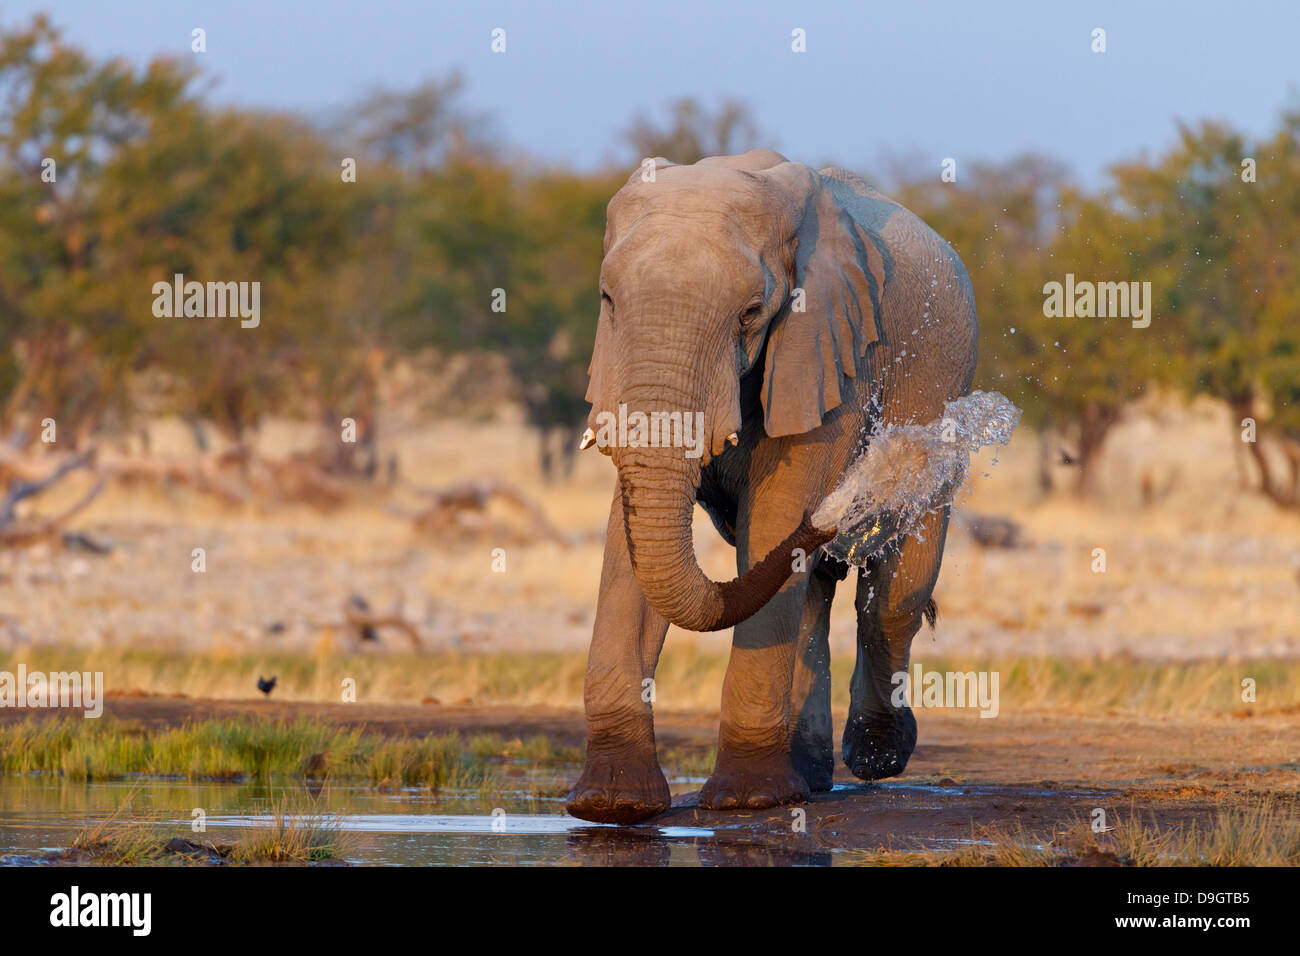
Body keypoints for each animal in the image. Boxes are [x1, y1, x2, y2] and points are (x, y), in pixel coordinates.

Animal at [564, 147, 977, 822]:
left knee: (894, 592)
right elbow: (627, 544)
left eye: (752, 314)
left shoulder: (830, 349)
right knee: (815, 591)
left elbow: (780, 510)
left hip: (944, 392)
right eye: (607, 300)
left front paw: (744, 802)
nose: (832, 513)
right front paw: (611, 803)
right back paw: (808, 776)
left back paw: (875, 756)